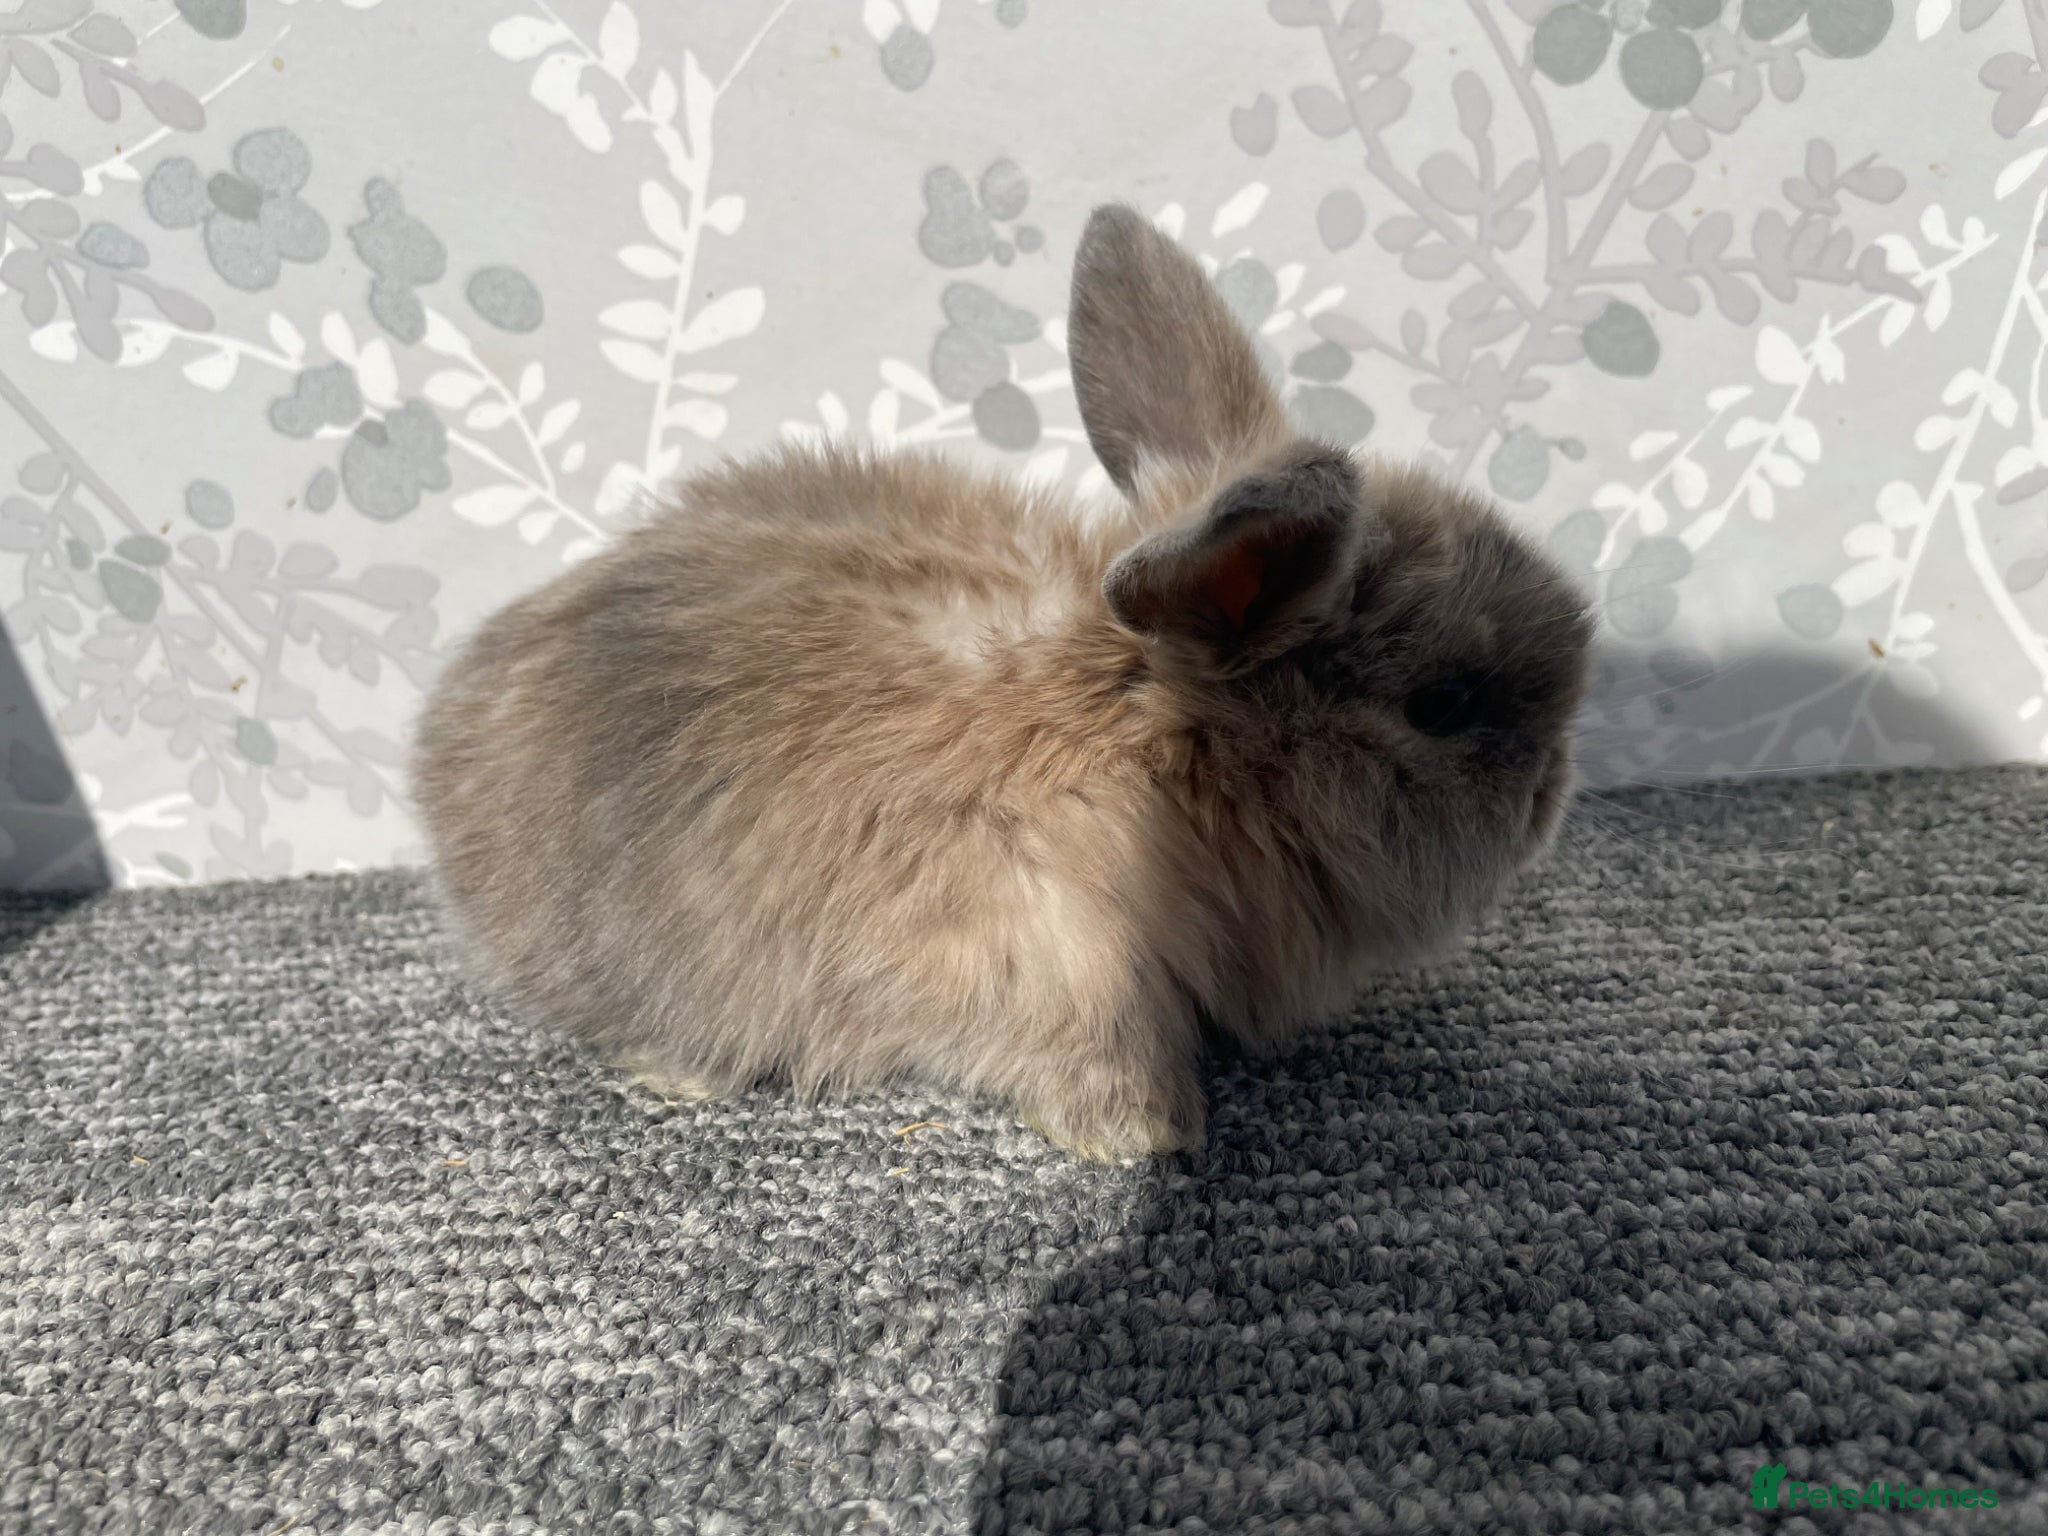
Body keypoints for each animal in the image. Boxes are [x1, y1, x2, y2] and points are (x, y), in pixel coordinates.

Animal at [409, 203, 1593, 1162]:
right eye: (1442, 707)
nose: (1553, 801)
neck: (1160, 743)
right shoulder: (1059, 957)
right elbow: (1090, 1056)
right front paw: (1144, 1136)